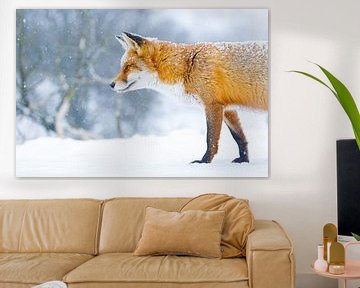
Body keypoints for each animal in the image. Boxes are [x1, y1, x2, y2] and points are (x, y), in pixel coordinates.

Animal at [109, 32, 268, 163]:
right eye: (122, 66)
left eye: (127, 66)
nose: (111, 84)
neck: (188, 65)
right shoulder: (228, 107)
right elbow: (239, 137)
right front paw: (244, 160)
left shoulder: (212, 104)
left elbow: (210, 139)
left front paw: (204, 162)